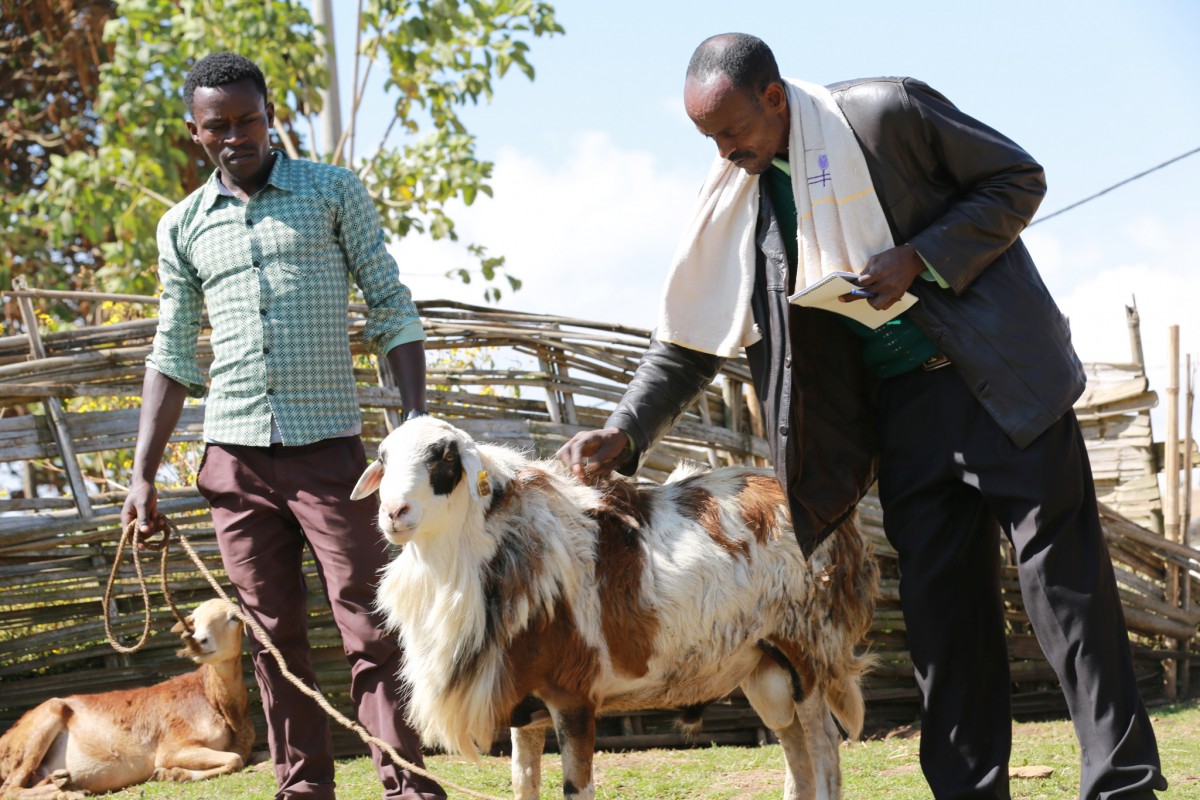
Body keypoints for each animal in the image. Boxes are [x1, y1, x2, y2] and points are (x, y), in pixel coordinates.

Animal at [0, 597, 253, 796]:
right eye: (195, 619)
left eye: (234, 617)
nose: (198, 640)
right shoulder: (172, 747)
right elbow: (234, 759)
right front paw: (172, 774)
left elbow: (237, 758)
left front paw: (172, 774)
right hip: (38, 727)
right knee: (9, 790)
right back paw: (65, 792)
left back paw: (63, 782)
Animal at [350, 419, 878, 800]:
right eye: (383, 459)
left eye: (444, 459)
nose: (393, 513)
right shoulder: (525, 708)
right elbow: (524, 785)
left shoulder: (573, 696)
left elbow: (576, 788)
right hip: (764, 666)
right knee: (795, 749)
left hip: (808, 649)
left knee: (825, 749)